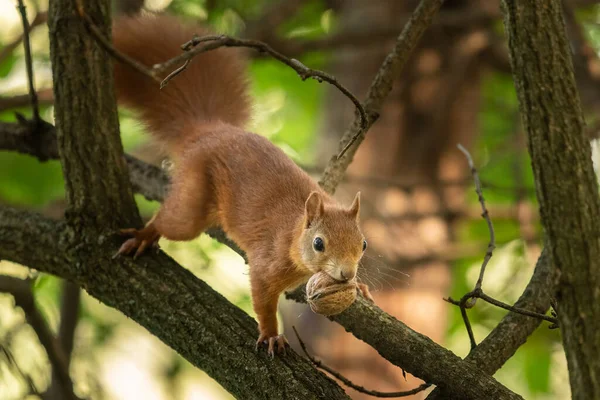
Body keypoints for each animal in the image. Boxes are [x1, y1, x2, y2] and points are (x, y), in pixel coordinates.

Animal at [112, 14, 370, 354]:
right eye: (318, 243)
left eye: (363, 244)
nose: (346, 273)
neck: (294, 235)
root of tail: (210, 129)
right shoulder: (266, 263)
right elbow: (262, 300)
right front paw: (271, 334)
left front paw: (362, 287)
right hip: (193, 199)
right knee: (173, 221)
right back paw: (144, 235)